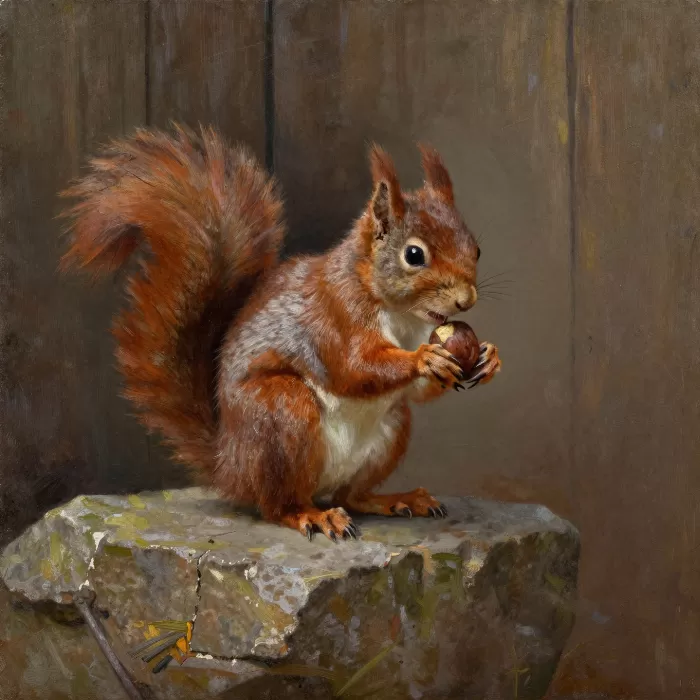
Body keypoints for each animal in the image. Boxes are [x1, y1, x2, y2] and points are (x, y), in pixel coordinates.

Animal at [59, 124, 501, 542]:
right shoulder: (333, 316)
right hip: (282, 413)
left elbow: (418, 392)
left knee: (351, 496)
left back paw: (394, 499)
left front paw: (489, 357)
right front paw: (424, 358)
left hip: (390, 428)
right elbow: (353, 367)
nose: (466, 300)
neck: (402, 315)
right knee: (278, 506)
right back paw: (312, 515)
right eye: (414, 255)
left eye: (477, 249)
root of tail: (230, 465)